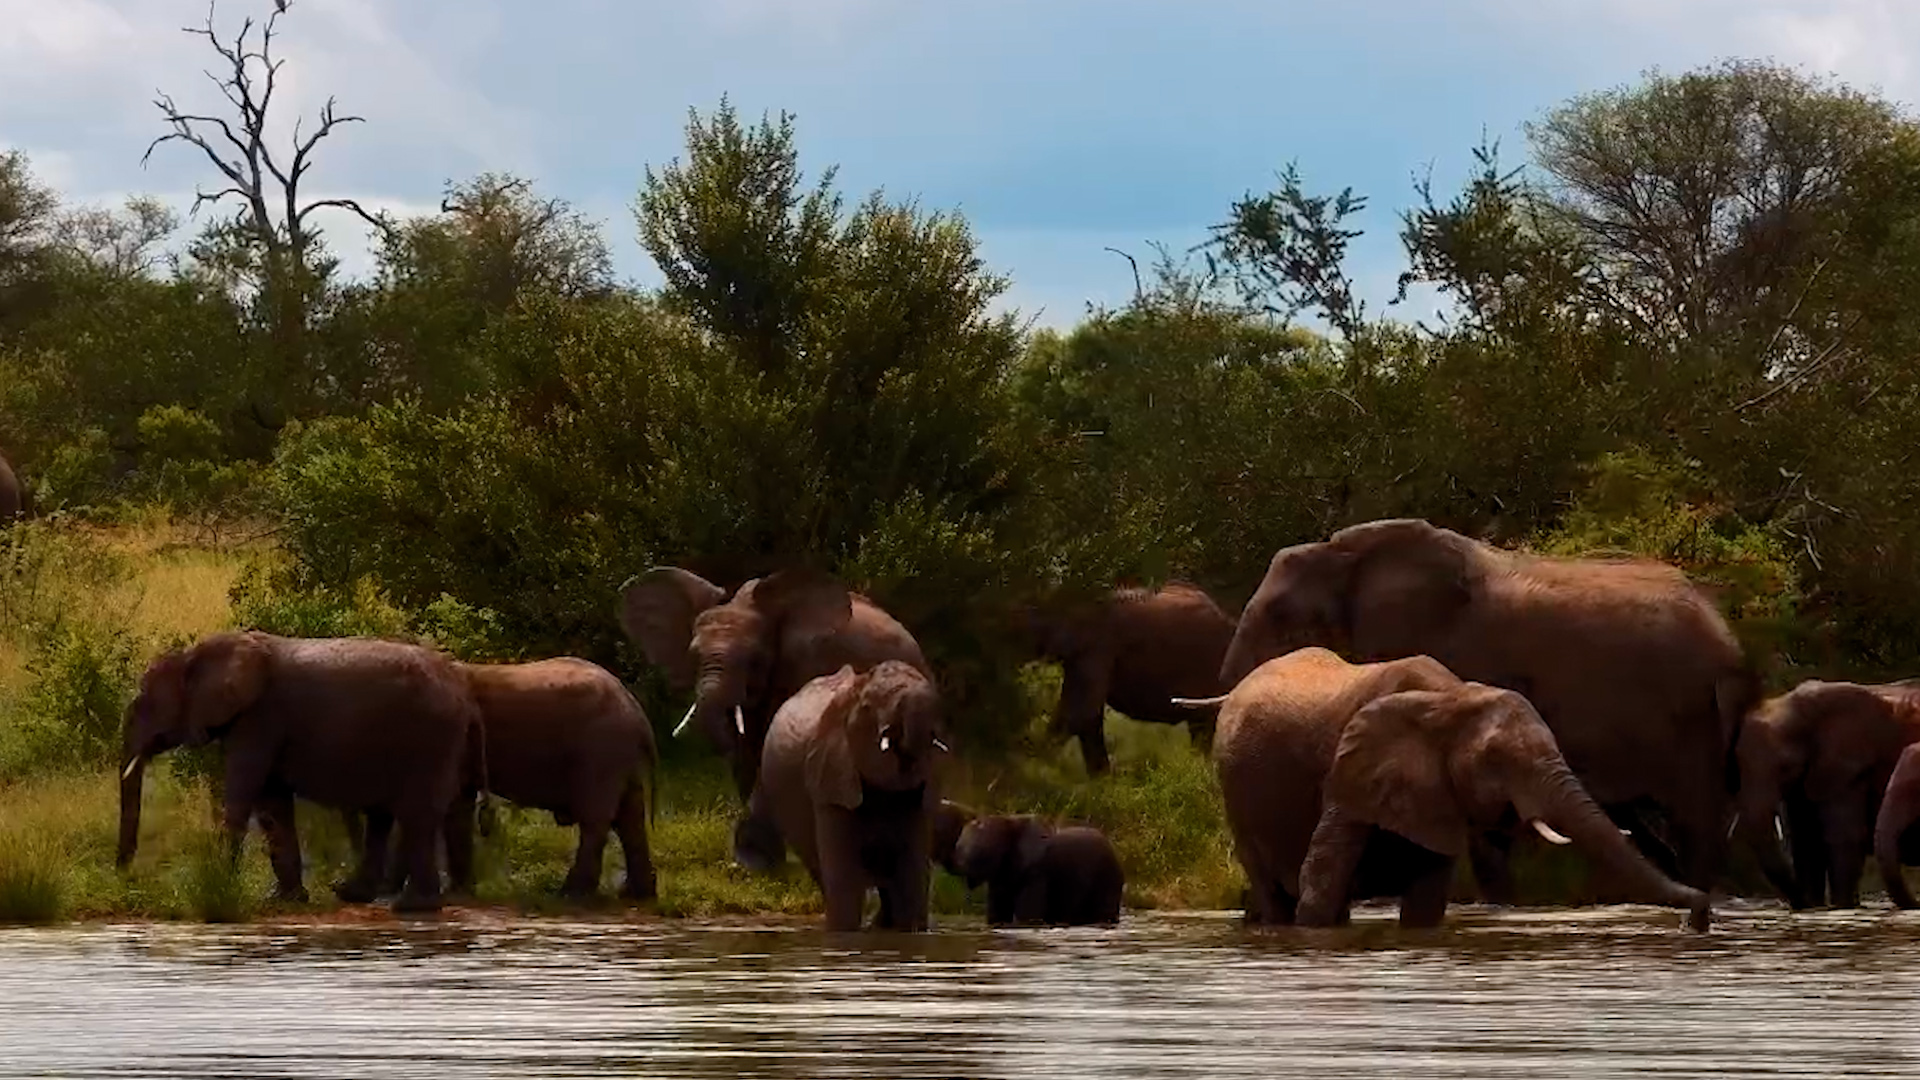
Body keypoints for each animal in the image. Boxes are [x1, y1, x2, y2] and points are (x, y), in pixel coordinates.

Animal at [117, 632, 483, 913]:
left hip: (430, 737)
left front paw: (219, 882)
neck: (196, 654)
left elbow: (243, 790)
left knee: (415, 814)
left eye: (143, 702)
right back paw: (353, 895)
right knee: (385, 816)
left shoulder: (260, 719)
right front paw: (284, 900)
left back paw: (411, 906)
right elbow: (272, 803)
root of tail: (462, 692)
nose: (124, 877)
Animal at [353, 657, 660, 902]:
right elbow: (455, 808)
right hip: (616, 753)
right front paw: (458, 892)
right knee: (629, 817)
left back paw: (572, 894)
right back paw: (636, 894)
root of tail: (637, 711)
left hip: (601, 749)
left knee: (597, 819)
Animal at [945, 810, 1125, 927]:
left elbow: (1028, 918)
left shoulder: (1038, 871)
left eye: (983, 850)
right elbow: (996, 917)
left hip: (1108, 877)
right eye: (959, 846)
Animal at [1195, 646, 1711, 928]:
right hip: (1233, 791)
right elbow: (1321, 881)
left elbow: (1426, 897)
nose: (1699, 918)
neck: (1450, 698)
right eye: (1496, 760)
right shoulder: (1349, 768)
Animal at [1734, 679, 1920, 908]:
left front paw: (1842, 907)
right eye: (1737, 766)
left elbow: (1843, 838)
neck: (1792, 707)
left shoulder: (1847, 769)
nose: (1802, 902)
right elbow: (1805, 842)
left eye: (1785, 767)